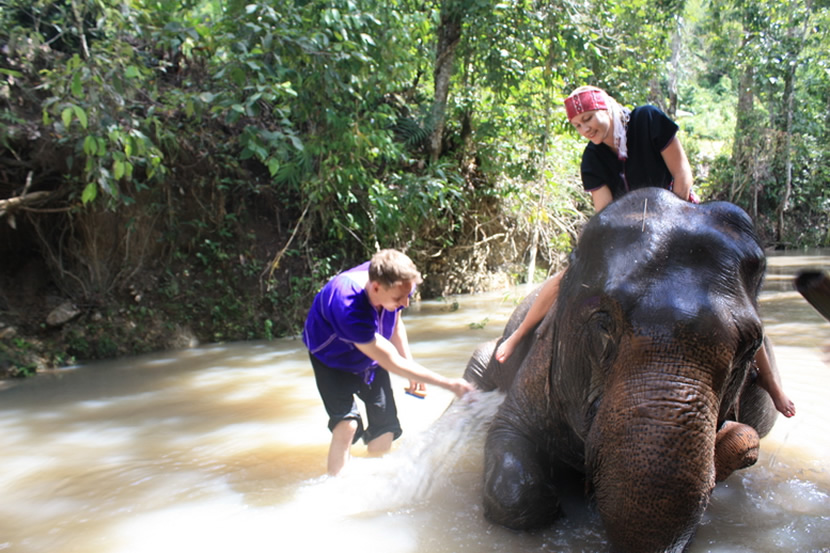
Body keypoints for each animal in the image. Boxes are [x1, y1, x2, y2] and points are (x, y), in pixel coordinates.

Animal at [464, 187, 780, 553]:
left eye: (751, 346)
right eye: (603, 322)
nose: (741, 444)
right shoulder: (540, 360)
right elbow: (508, 440)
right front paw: (553, 502)